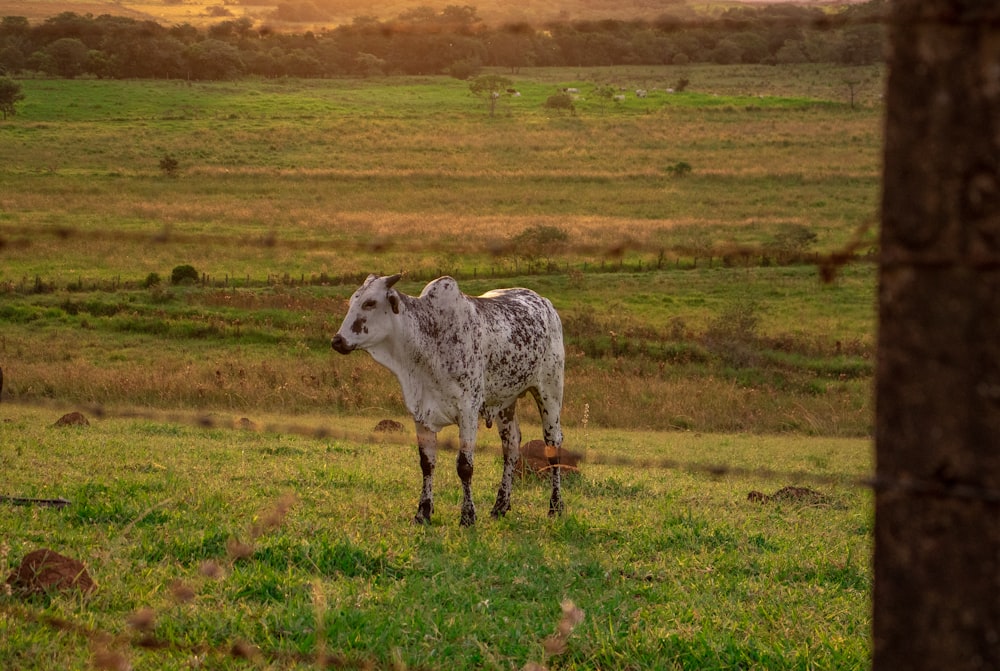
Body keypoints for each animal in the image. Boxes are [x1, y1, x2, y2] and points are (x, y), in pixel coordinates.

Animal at [332, 276, 568, 528]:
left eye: (370, 303)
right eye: (352, 301)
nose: (337, 341)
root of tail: (545, 303)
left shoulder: (468, 412)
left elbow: (465, 466)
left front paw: (467, 516)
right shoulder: (420, 413)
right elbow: (427, 463)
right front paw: (423, 512)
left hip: (549, 392)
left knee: (552, 446)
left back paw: (555, 506)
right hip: (506, 402)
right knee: (511, 447)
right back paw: (500, 506)